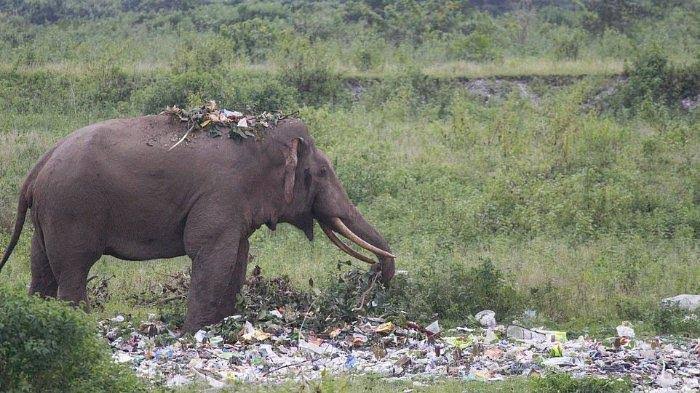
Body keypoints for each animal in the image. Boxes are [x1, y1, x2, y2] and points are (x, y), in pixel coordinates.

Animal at [0, 113, 394, 330]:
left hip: (48, 214)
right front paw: (193, 334)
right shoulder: (221, 192)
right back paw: (81, 322)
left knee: (42, 267)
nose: (376, 277)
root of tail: (37, 167)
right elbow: (210, 252)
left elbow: (238, 255)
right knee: (73, 268)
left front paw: (222, 326)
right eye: (322, 172)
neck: (260, 136)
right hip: (71, 209)